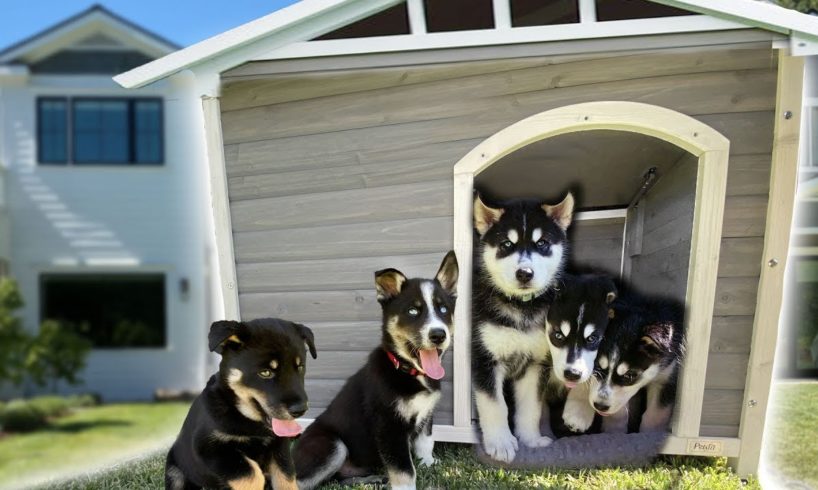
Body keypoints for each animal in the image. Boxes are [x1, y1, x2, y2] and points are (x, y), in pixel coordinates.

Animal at [165, 318, 316, 490]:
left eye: (300, 367)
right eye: (265, 372)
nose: (301, 410)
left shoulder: (280, 446)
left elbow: (286, 477)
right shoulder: (209, 448)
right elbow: (251, 473)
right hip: (175, 471)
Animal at [294, 253, 460, 490]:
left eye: (443, 309)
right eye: (413, 311)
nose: (439, 335)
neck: (408, 371)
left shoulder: (427, 414)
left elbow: (426, 442)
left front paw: (428, 463)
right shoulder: (389, 427)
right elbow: (404, 471)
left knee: (340, 478)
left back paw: (373, 479)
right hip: (333, 445)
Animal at [468, 192, 572, 464]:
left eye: (542, 243)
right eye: (506, 244)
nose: (525, 273)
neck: (521, 307)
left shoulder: (536, 364)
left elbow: (531, 407)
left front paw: (531, 440)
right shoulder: (485, 359)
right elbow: (495, 405)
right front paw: (501, 443)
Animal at [584, 290, 684, 432]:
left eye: (630, 375)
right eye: (596, 366)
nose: (600, 406)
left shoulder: (666, 378)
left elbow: (656, 415)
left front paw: (647, 433)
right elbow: (618, 412)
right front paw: (614, 430)